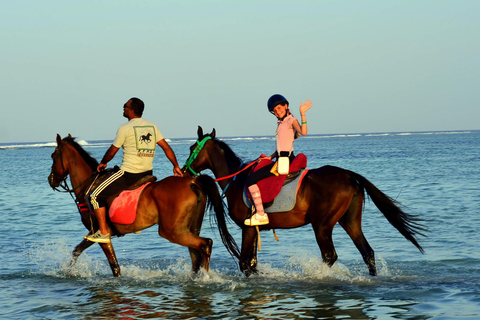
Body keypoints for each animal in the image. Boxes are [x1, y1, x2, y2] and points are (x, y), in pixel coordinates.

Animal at [48, 134, 236, 276]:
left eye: (53, 156)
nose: (51, 179)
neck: (89, 184)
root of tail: (191, 182)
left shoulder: (100, 234)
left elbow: (114, 266)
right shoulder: (93, 234)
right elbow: (77, 251)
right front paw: (68, 272)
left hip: (172, 231)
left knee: (205, 244)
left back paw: (205, 277)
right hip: (189, 228)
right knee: (196, 253)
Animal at [184, 126, 428, 276]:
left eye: (190, 148)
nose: (184, 171)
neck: (237, 178)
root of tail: (349, 175)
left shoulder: (248, 228)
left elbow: (245, 264)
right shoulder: (253, 230)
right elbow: (251, 263)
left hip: (322, 225)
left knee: (330, 256)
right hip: (350, 221)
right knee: (367, 253)